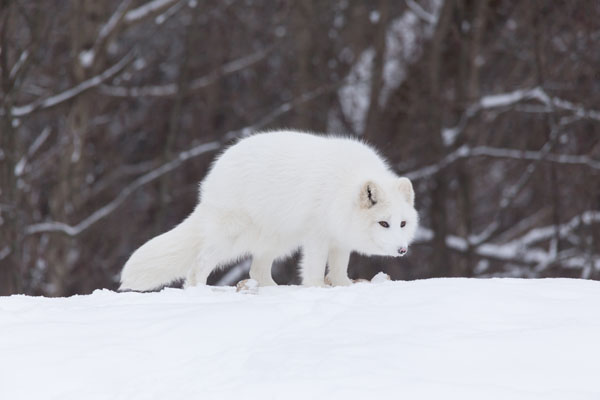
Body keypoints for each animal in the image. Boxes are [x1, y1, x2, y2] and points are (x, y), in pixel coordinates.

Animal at [117, 131, 418, 290]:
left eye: (403, 224)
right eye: (383, 224)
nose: (402, 250)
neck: (342, 189)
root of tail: (210, 181)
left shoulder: (340, 238)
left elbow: (339, 269)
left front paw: (344, 286)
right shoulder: (317, 236)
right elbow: (314, 270)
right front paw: (316, 289)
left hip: (277, 241)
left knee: (256, 272)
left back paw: (274, 290)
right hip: (231, 238)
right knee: (198, 267)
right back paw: (201, 291)